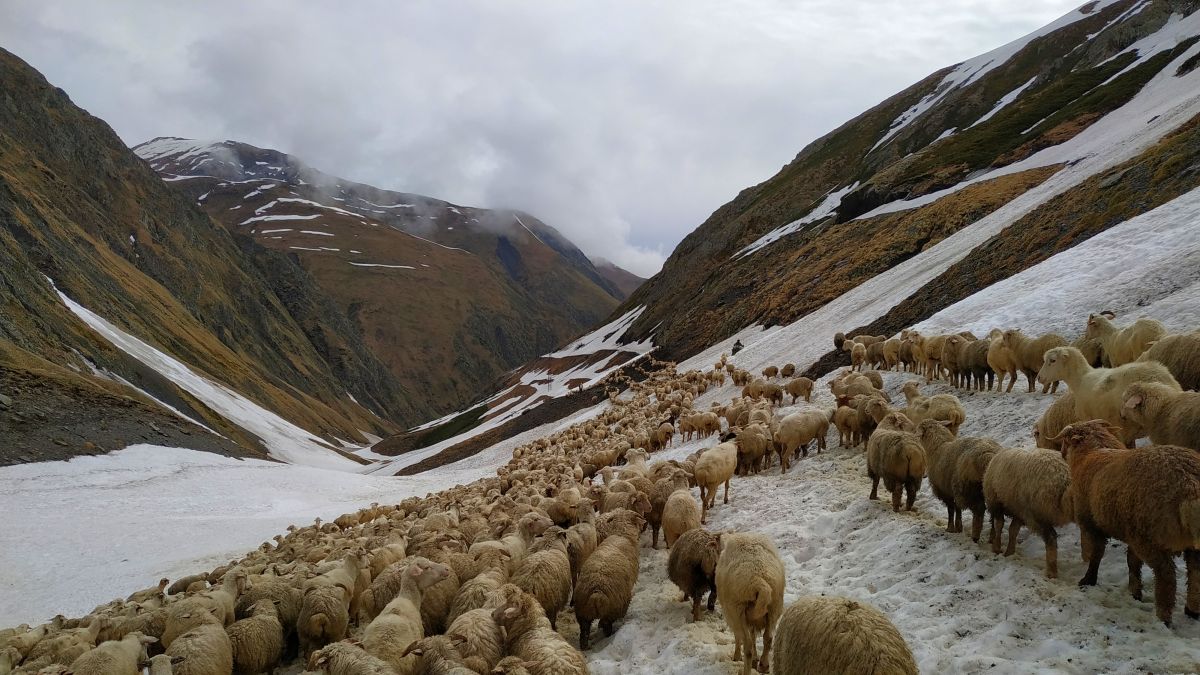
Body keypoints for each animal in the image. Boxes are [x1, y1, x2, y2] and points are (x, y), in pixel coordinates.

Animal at [710, 530, 787, 672]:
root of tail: (759, 580)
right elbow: (754, 634)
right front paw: (756, 659)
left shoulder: (733, 616)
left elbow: (738, 636)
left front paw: (736, 657)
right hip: (774, 607)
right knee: (768, 638)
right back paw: (763, 665)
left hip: (737, 610)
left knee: (747, 645)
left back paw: (747, 668)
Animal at [979, 444, 1075, 576]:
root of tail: (1064, 477)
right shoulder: (1019, 511)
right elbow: (1012, 531)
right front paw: (1009, 552)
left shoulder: (996, 501)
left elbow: (999, 525)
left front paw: (997, 548)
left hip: (1037, 514)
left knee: (1051, 539)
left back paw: (1051, 572)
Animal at [1056, 417, 1200, 624]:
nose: (1060, 453)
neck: (1091, 454)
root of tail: (1190, 484)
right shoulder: (1130, 530)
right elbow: (1132, 562)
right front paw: (1135, 591)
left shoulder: (1092, 524)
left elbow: (1097, 555)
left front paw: (1088, 580)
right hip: (1183, 542)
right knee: (1196, 573)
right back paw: (1192, 610)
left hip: (1152, 538)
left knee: (1166, 576)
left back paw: (1163, 617)